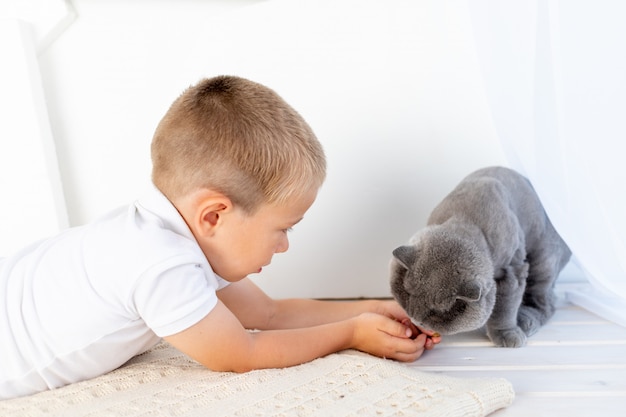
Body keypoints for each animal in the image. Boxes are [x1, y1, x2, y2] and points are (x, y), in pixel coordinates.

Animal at [390, 164, 572, 346]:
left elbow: (505, 307)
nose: (416, 320)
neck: (466, 218)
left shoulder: (512, 270)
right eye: (408, 293)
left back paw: (525, 320)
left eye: (438, 311)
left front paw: (506, 333)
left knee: (546, 302)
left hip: (544, 261)